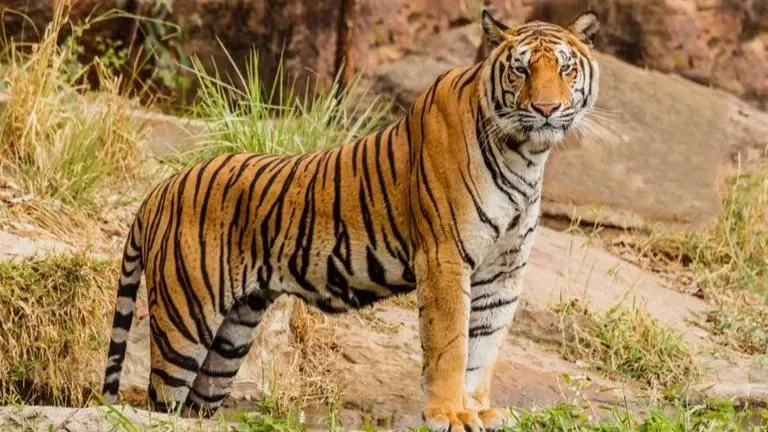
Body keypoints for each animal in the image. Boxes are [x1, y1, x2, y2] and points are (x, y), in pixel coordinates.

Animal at [101, 10, 600, 431]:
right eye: (521, 70)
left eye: (565, 69)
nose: (547, 110)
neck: (525, 154)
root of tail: (159, 190)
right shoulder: (445, 258)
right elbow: (452, 345)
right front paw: (449, 413)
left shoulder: (504, 270)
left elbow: (484, 346)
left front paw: (478, 411)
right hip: (184, 322)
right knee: (160, 399)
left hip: (231, 335)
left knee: (195, 405)